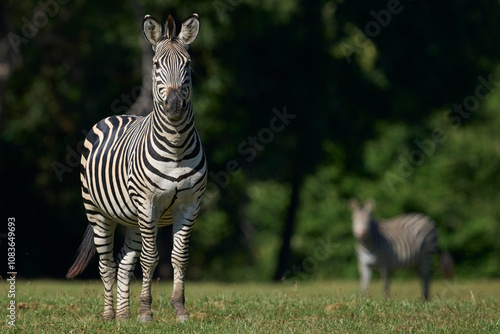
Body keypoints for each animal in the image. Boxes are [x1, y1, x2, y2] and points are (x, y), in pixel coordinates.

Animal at [66, 13, 207, 324]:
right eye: (156, 65)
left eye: (188, 64)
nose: (175, 104)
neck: (176, 146)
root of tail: (118, 115)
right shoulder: (148, 202)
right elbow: (150, 258)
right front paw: (145, 312)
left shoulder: (189, 204)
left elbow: (179, 257)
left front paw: (180, 310)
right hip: (98, 211)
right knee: (106, 263)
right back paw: (109, 315)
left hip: (132, 218)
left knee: (123, 262)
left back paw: (122, 316)